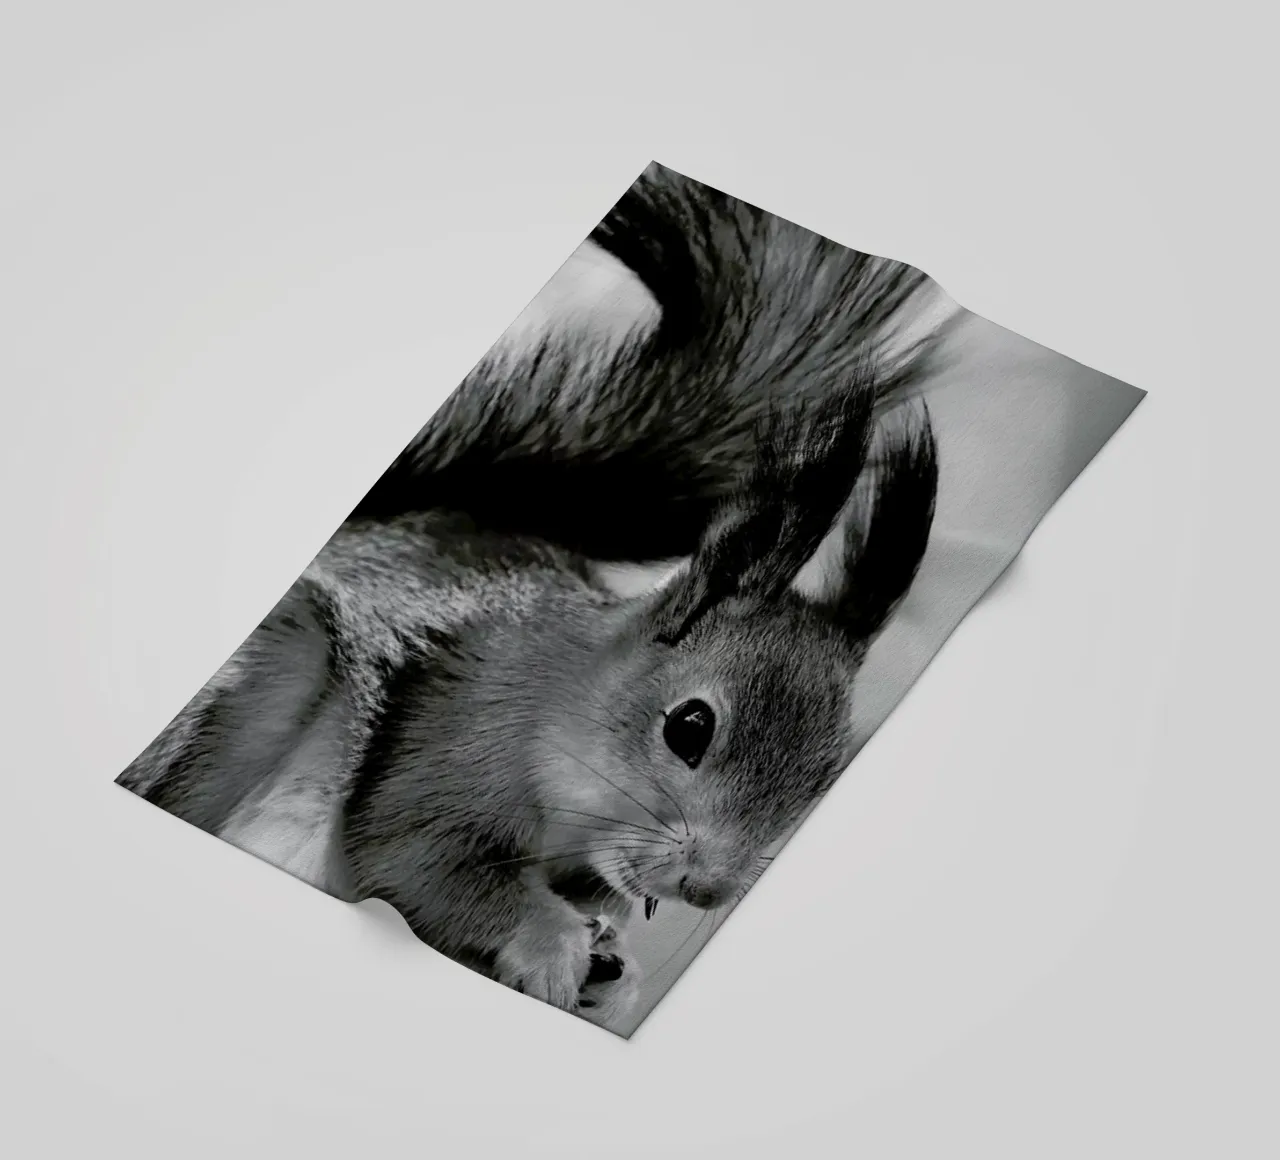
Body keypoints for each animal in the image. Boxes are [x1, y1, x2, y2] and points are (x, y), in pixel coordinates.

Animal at [117, 162, 942, 1030]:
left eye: (824, 778)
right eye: (689, 727)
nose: (707, 890)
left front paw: (613, 970)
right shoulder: (454, 738)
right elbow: (421, 857)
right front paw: (550, 945)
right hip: (279, 671)